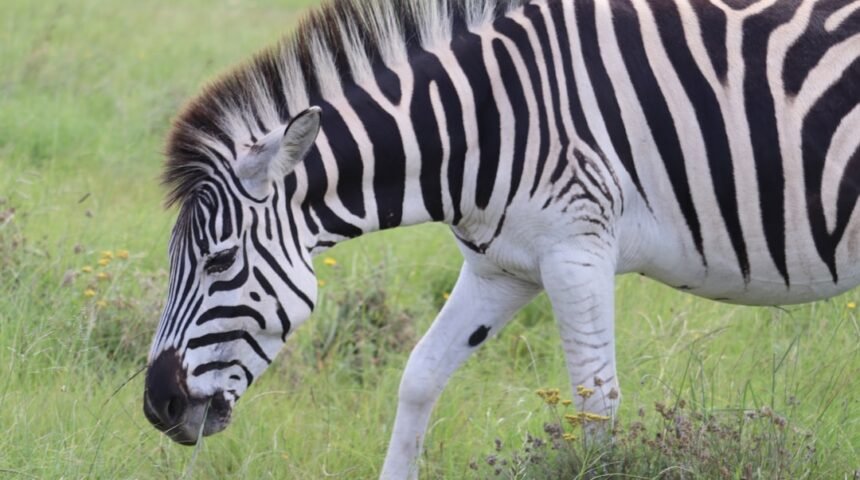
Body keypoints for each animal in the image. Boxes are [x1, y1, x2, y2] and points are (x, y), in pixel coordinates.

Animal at [142, 0, 860, 477]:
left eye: (220, 261)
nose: (157, 405)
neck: (479, 127)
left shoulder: (577, 250)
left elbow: (597, 405)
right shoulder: (502, 269)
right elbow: (419, 377)